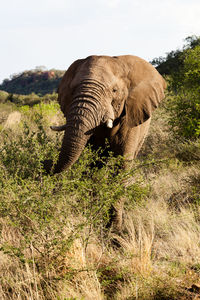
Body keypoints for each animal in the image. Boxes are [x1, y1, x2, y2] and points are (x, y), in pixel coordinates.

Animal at [44, 55, 166, 230]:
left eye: (114, 91)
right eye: (73, 90)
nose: (45, 163)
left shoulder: (130, 117)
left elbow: (122, 165)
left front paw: (114, 229)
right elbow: (94, 165)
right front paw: (91, 217)